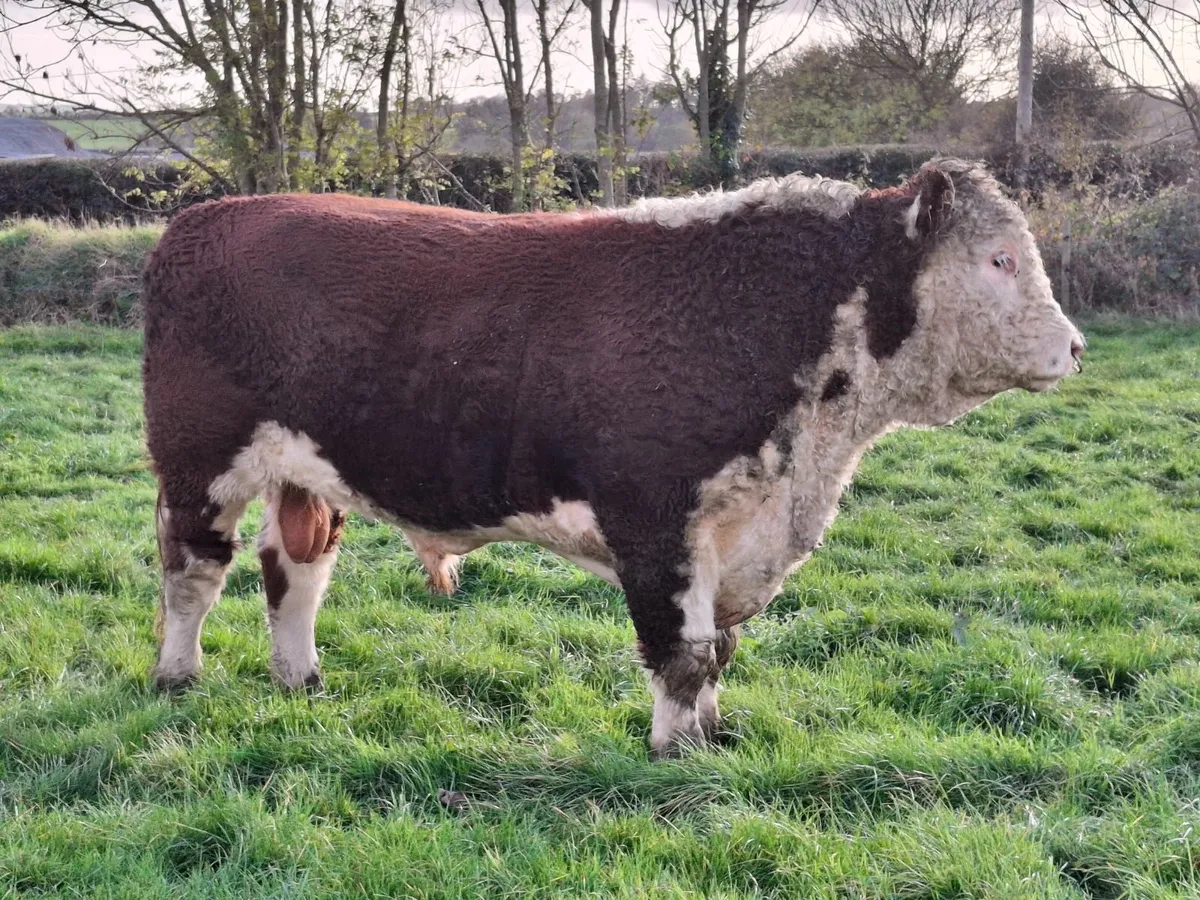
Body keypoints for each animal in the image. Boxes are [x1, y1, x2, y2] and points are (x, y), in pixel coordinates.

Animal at [142, 159, 1084, 757]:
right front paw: (675, 753)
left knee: (294, 573)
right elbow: (683, 650)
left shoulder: (735, 527)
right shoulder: (658, 516)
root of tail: (207, 217)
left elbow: (718, 650)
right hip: (199, 462)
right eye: (999, 259)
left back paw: (300, 679)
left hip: (306, 472)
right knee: (195, 571)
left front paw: (715, 738)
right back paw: (177, 675)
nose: (1075, 347)